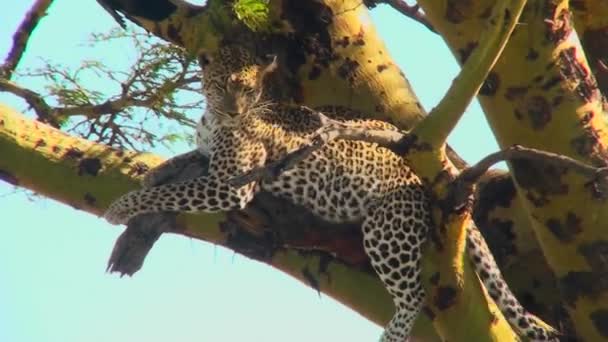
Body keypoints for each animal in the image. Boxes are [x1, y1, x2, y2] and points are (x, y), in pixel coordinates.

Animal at [104, 46, 560, 340]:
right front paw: (153, 172)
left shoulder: (228, 186)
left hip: (386, 227)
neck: (215, 118)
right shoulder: (209, 162)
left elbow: (173, 193)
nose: (234, 109)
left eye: (248, 90)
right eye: (221, 85)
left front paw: (120, 206)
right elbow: (180, 163)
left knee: (412, 295)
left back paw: (390, 336)